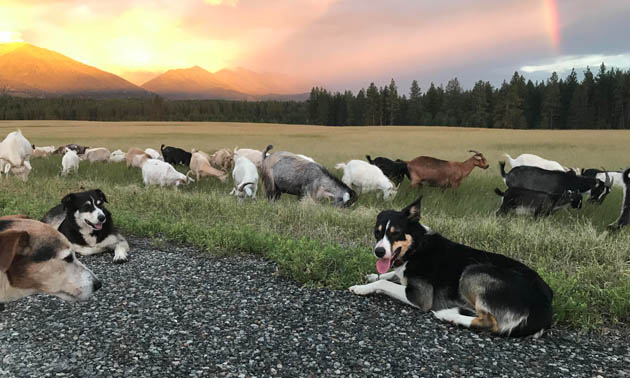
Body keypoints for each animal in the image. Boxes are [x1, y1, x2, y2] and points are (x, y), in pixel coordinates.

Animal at [354, 196, 556, 336]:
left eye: (396, 233)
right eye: (377, 233)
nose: (379, 251)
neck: (417, 246)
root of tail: (545, 309)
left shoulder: (420, 295)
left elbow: (385, 283)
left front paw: (361, 287)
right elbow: (390, 275)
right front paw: (373, 275)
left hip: (473, 272)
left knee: (491, 323)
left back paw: (449, 316)